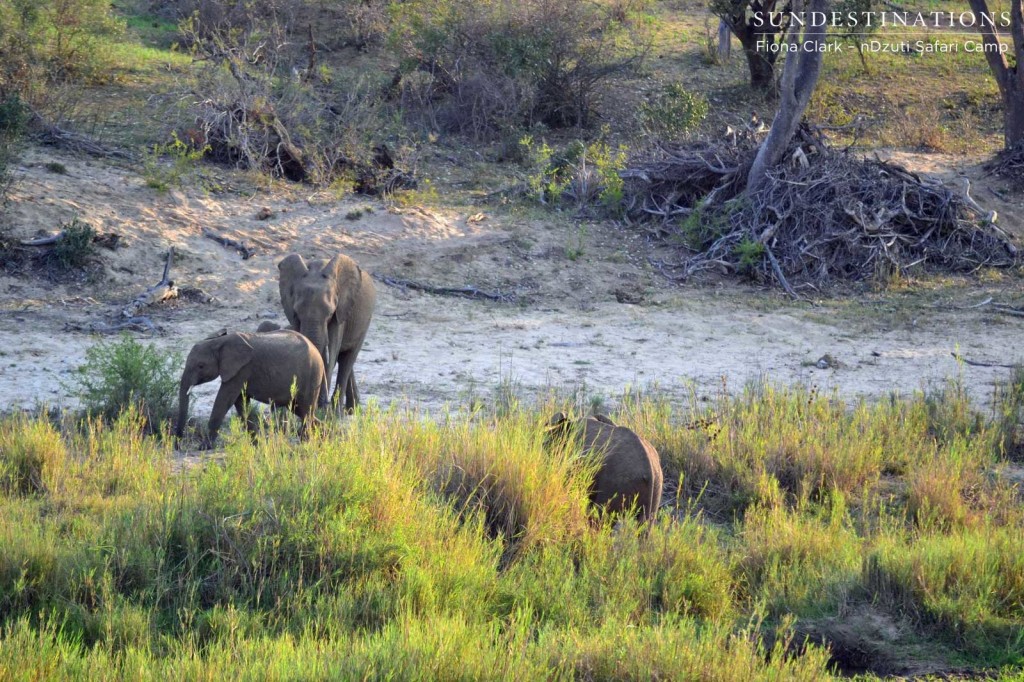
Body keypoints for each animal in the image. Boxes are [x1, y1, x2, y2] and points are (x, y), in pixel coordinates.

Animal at [176, 327, 325, 446]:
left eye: (200, 366)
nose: (177, 446)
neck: (219, 341)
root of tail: (317, 351)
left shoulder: (242, 369)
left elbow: (225, 399)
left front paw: (204, 447)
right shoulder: (239, 371)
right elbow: (240, 403)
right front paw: (256, 444)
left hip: (312, 375)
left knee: (306, 410)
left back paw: (305, 442)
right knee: (301, 410)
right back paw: (324, 436)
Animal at [276, 249, 376, 409]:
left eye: (330, 313)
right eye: (297, 311)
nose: (320, 402)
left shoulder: (341, 310)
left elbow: (333, 349)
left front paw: (321, 407)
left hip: (366, 320)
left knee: (348, 358)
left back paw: (338, 410)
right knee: (343, 359)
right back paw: (351, 408)